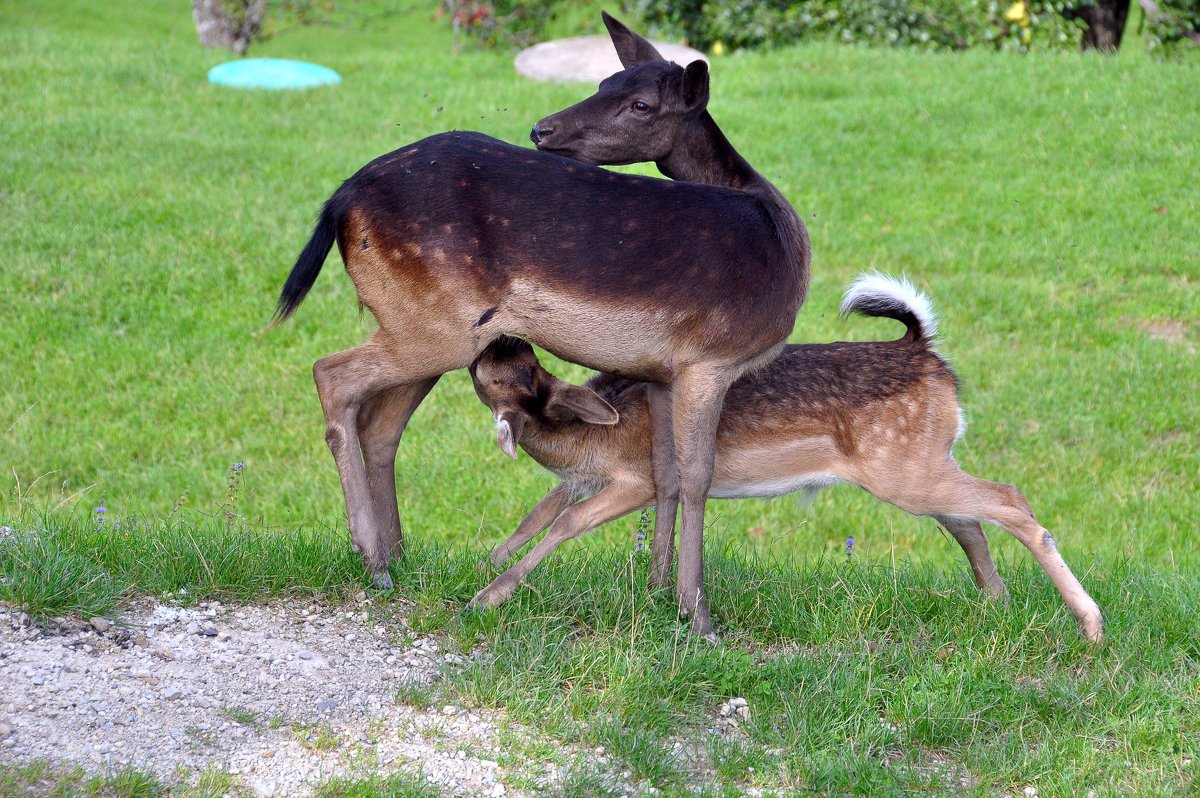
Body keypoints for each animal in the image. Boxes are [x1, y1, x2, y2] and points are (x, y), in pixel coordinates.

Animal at [276, 14, 811, 633]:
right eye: (604, 82)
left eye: (639, 102)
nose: (542, 129)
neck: (781, 239)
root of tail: (339, 199)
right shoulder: (711, 358)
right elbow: (699, 475)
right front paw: (698, 616)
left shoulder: (662, 370)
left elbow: (668, 474)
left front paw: (655, 590)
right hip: (435, 325)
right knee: (331, 374)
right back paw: (373, 560)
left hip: (428, 324)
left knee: (382, 425)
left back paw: (398, 556)